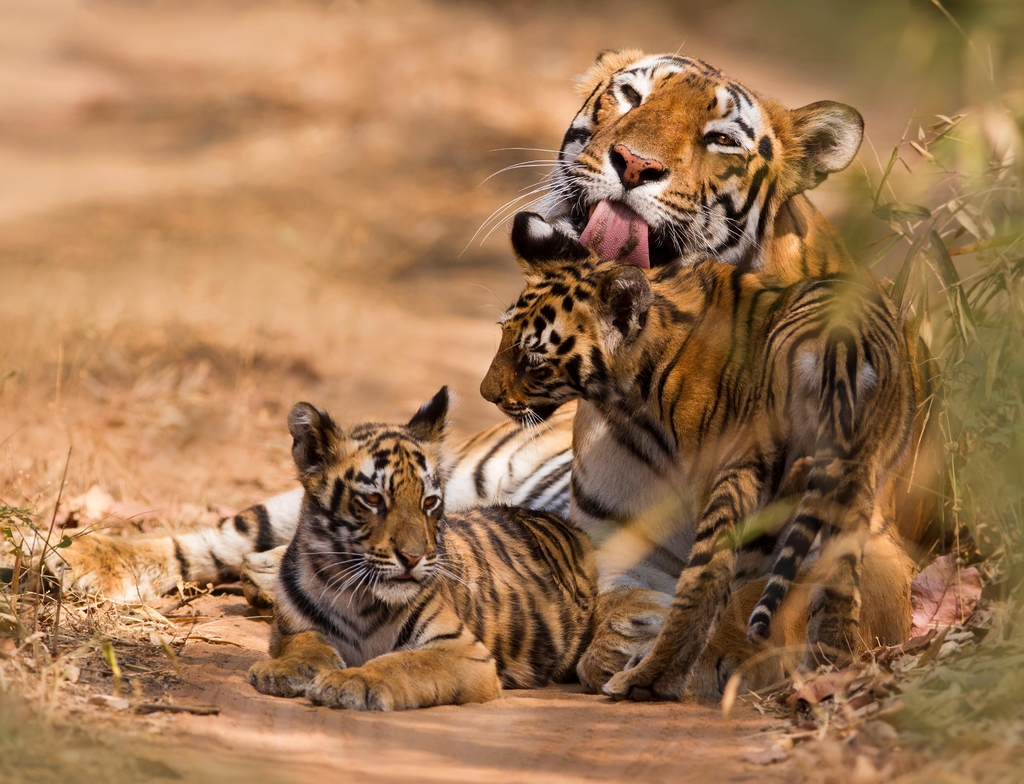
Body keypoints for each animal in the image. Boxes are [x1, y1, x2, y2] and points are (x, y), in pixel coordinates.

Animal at [247, 387, 597, 711]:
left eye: (429, 502)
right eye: (373, 499)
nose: (412, 558)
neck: (353, 597)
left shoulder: (462, 651)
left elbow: (401, 663)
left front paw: (351, 680)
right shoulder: (290, 629)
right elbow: (305, 644)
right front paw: (280, 670)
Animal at [481, 210, 917, 699]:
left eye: (534, 359)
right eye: (502, 334)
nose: (485, 393)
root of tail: (839, 346)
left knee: (710, 584)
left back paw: (648, 679)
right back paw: (829, 669)